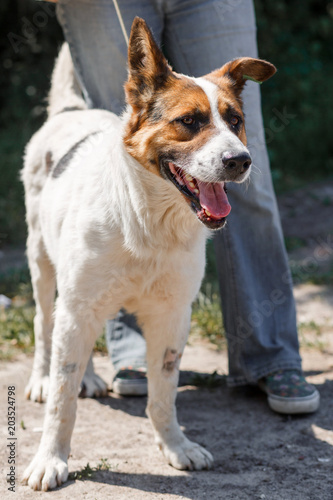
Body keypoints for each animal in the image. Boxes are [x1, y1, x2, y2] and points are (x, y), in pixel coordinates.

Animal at [21, 17, 274, 490]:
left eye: (235, 120)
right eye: (189, 121)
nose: (241, 161)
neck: (149, 222)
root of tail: (69, 112)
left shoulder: (172, 316)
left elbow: (163, 395)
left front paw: (175, 446)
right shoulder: (77, 308)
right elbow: (62, 403)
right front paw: (50, 459)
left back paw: (92, 376)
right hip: (44, 267)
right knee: (45, 326)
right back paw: (42, 378)